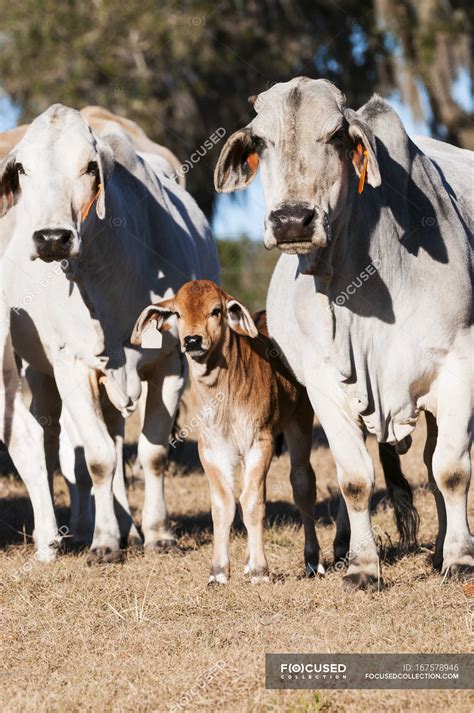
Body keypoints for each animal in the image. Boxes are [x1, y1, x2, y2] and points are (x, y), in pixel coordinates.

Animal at [0, 103, 220, 562]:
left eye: (89, 166)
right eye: (23, 168)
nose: (52, 238)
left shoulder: (169, 364)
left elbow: (152, 454)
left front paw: (158, 533)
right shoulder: (71, 366)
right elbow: (98, 459)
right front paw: (103, 541)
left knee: (118, 441)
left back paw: (130, 530)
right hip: (38, 374)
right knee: (56, 443)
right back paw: (86, 528)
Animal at [131, 280, 324, 584]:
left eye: (216, 311)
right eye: (178, 313)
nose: (192, 341)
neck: (224, 393)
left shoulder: (260, 441)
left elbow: (253, 501)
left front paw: (260, 571)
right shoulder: (211, 450)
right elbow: (224, 505)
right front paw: (219, 572)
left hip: (300, 421)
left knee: (303, 483)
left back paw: (313, 562)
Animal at [215, 77, 473, 588]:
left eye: (335, 134)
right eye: (260, 141)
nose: (292, 220)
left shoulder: (459, 364)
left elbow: (452, 470)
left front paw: (459, 559)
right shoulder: (326, 385)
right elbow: (354, 479)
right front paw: (362, 566)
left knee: (434, 463)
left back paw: (441, 550)